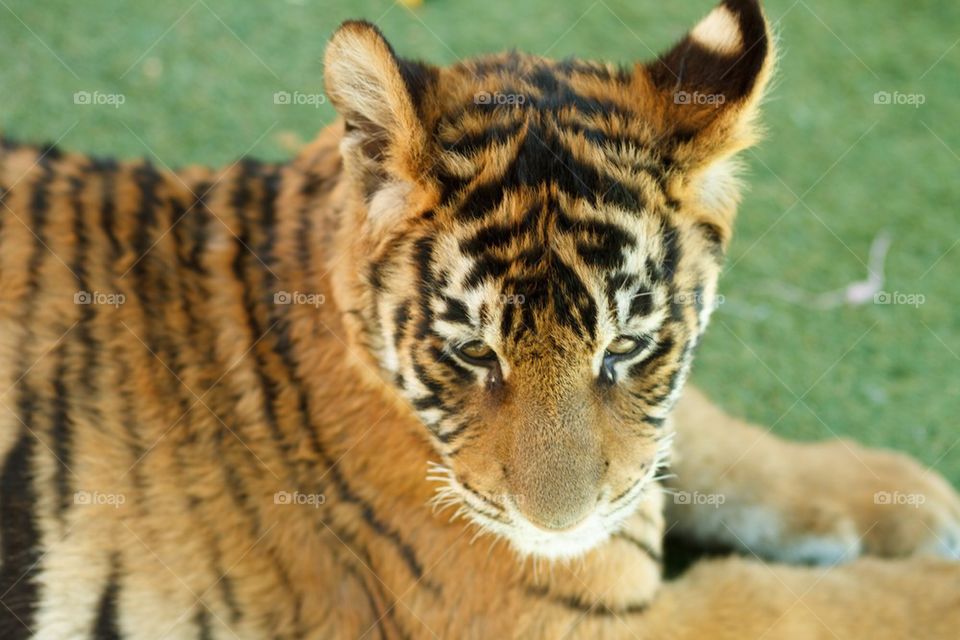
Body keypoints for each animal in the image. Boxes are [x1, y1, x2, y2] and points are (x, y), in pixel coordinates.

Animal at [1, 0, 959, 638]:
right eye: (472, 353)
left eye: (626, 347)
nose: (557, 530)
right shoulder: (573, 623)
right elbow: (803, 603)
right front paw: (933, 576)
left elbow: (715, 436)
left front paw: (900, 491)